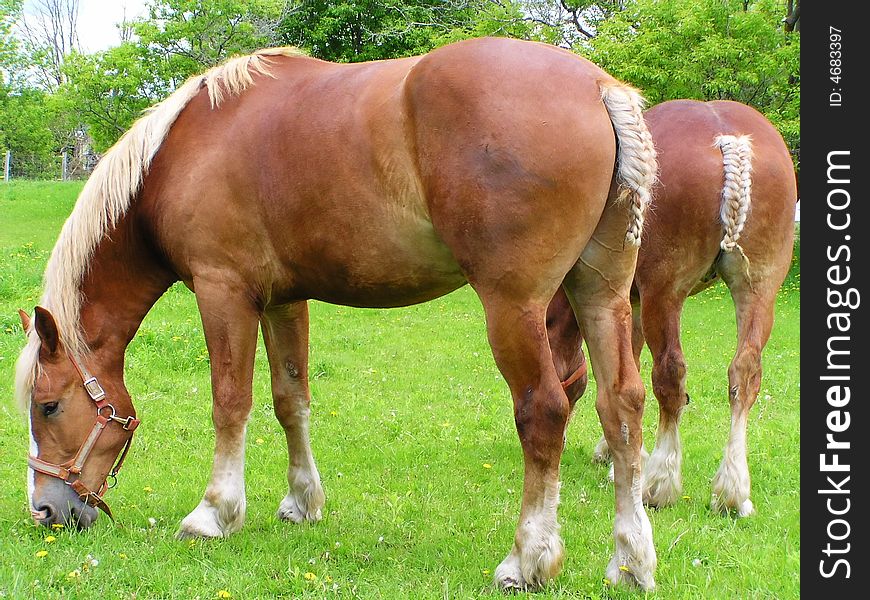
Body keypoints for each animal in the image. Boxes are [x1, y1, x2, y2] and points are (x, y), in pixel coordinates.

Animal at [13, 38, 656, 592]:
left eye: (48, 406)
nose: (45, 509)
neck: (184, 151)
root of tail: (598, 88)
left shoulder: (223, 291)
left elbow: (230, 401)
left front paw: (215, 512)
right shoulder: (281, 298)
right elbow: (289, 399)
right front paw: (302, 502)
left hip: (514, 306)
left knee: (544, 411)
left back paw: (527, 559)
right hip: (600, 295)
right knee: (621, 404)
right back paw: (631, 560)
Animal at [560, 98, 796, 516]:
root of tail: (728, 138)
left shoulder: (636, 301)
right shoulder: (634, 304)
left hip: (666, 294)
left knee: (671, 375)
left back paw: (660, 483)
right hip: (759, 290)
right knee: (746, 372)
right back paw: (733, 490)